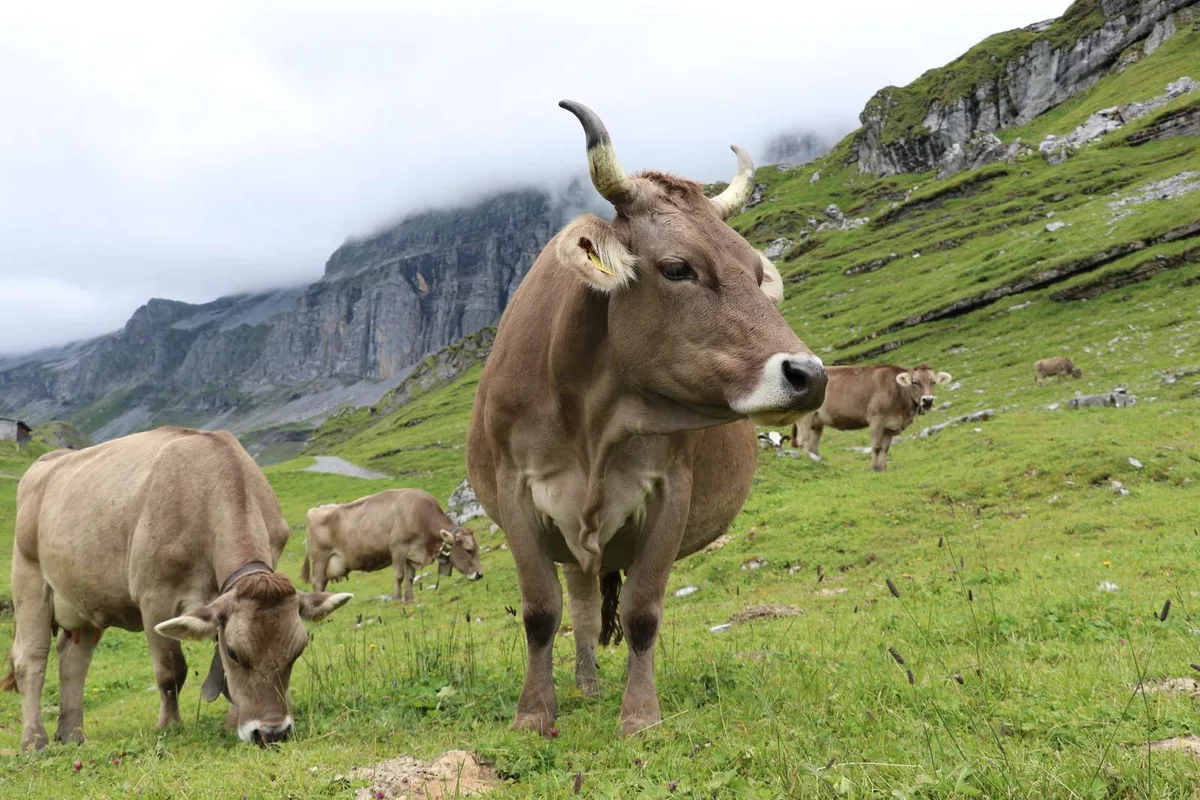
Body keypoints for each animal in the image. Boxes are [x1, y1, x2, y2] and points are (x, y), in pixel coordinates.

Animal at [3, 427, 352, 751]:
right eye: (235, 653)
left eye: (298, 651)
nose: (272, 732)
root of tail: (45, 463)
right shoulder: (155, 597)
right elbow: (170, 670)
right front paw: (169, 725)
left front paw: (232, 720)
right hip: (29, 577)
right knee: (30, 659)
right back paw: (34, 741)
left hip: (84, 598)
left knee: (74, 659)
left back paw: (72, 735)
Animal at [301, 488, 483, 602]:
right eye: (468, 550)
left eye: (476, 548)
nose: (480, 575)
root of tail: (312, 511)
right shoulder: (398, 548)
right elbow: (399, 576)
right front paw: (397, 599)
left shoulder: (412, 553)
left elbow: (410, 577)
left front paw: (409, 599)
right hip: (320, 559)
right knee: (317, 583)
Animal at [466, 100, 826, 737]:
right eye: (678, 268)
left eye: (756, 272)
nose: (809, 374)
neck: (593, 420)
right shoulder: (516, 491)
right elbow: (540, 611)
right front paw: (534, 714)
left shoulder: (670, 492)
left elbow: (642, 613)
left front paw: (640, 716)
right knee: (583, 606)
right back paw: (584, 686)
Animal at [790, 364, 952, 471]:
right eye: (915, 382)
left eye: (933, 382)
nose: (928, 400)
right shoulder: (876, 420)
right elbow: (876, 446)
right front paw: (874, 468)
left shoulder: (890, 426)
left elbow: (885, 448)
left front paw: (883, 467)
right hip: (805, 416)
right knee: (803, 441)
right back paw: (808, 462)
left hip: (817, 422)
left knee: (814, 445)